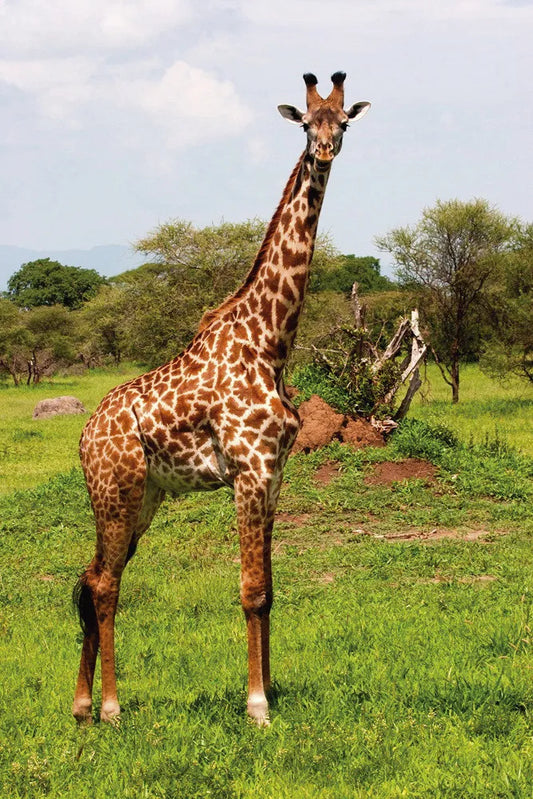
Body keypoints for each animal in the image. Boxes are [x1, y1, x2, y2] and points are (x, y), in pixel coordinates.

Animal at [72, 71, 370, 727]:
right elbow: (251, 589)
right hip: (116, 489)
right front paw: (257, 706)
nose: (324, 153)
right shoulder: (250, 471)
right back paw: (110, 707)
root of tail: (83, 436)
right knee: (105, 585)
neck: (271, 341)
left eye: (344, 123)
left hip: (145, 496)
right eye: (306, 124)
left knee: (92, 576)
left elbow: (271, 589)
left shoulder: (276, 473)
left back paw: (79, 705)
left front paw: (270, 689)